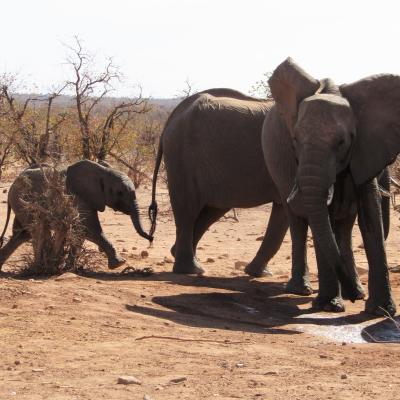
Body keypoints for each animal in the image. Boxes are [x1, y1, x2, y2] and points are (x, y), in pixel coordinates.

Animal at [0, 160, 153, 272]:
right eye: (119, 192)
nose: (151, 238)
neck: (102, 171)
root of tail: (12, 185)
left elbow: (82, 231)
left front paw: (69, 268)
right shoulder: (78, 197)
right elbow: (89, 229)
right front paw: (119, 264)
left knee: (22, 235)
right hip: (22, 201)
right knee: (35, 231)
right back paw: (41, 267)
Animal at [148, 88, 286, 276]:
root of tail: (172, 118)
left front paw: (259, 274)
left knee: (211, 210)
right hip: (182, 155)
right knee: (188, 211)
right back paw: (192, 270)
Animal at [262, 57, 396, 316]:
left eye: (342, 142)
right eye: (295, 140)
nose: (352, 298)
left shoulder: (365, 149)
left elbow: (370, 216)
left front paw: (381, 311)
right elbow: (324, 215)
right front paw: (330, 306)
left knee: (344, 226)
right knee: (298, 222)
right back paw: (301, 290)